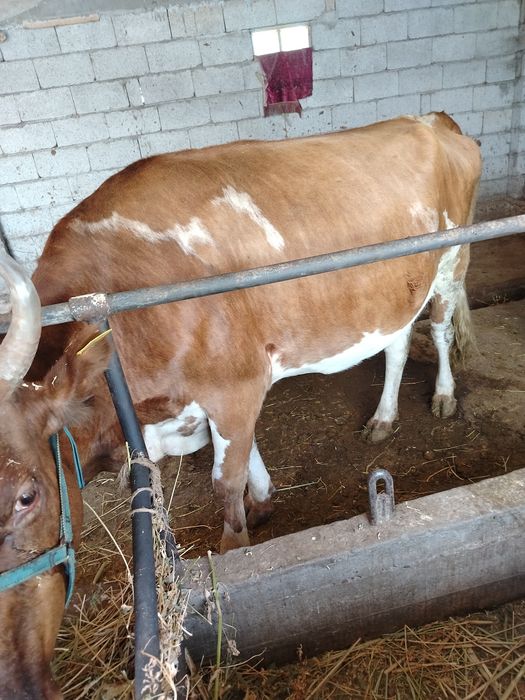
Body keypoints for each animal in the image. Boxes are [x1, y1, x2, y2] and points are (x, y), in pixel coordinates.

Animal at [0, 112, 481, 697]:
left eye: (27, 497)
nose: (17, 682)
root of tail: (431, 120)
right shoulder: (205, 403)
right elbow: (239, 453)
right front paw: (263, 500)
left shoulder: (234, 385)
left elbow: (223, 480)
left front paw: (236, 544)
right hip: (394, 289)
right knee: (397, 342)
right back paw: (384, 417)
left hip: (452, 262)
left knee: (439, 327)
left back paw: (443, 395)